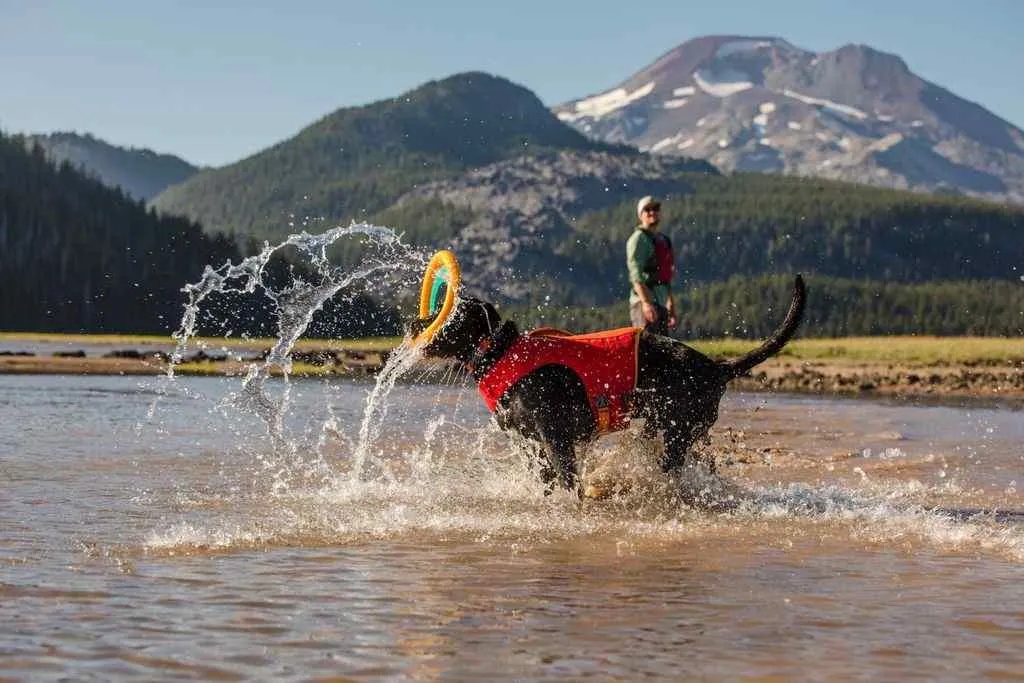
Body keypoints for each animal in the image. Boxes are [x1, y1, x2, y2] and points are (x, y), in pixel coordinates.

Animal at [411, 274, 802, 493]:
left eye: (450, 312)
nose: (415, 323)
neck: (499, 353)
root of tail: (716, 368)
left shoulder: (555, 438)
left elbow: (567, 480)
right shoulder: (531, 444)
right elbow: (546, 480)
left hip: (676, 433)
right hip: (670, 429)